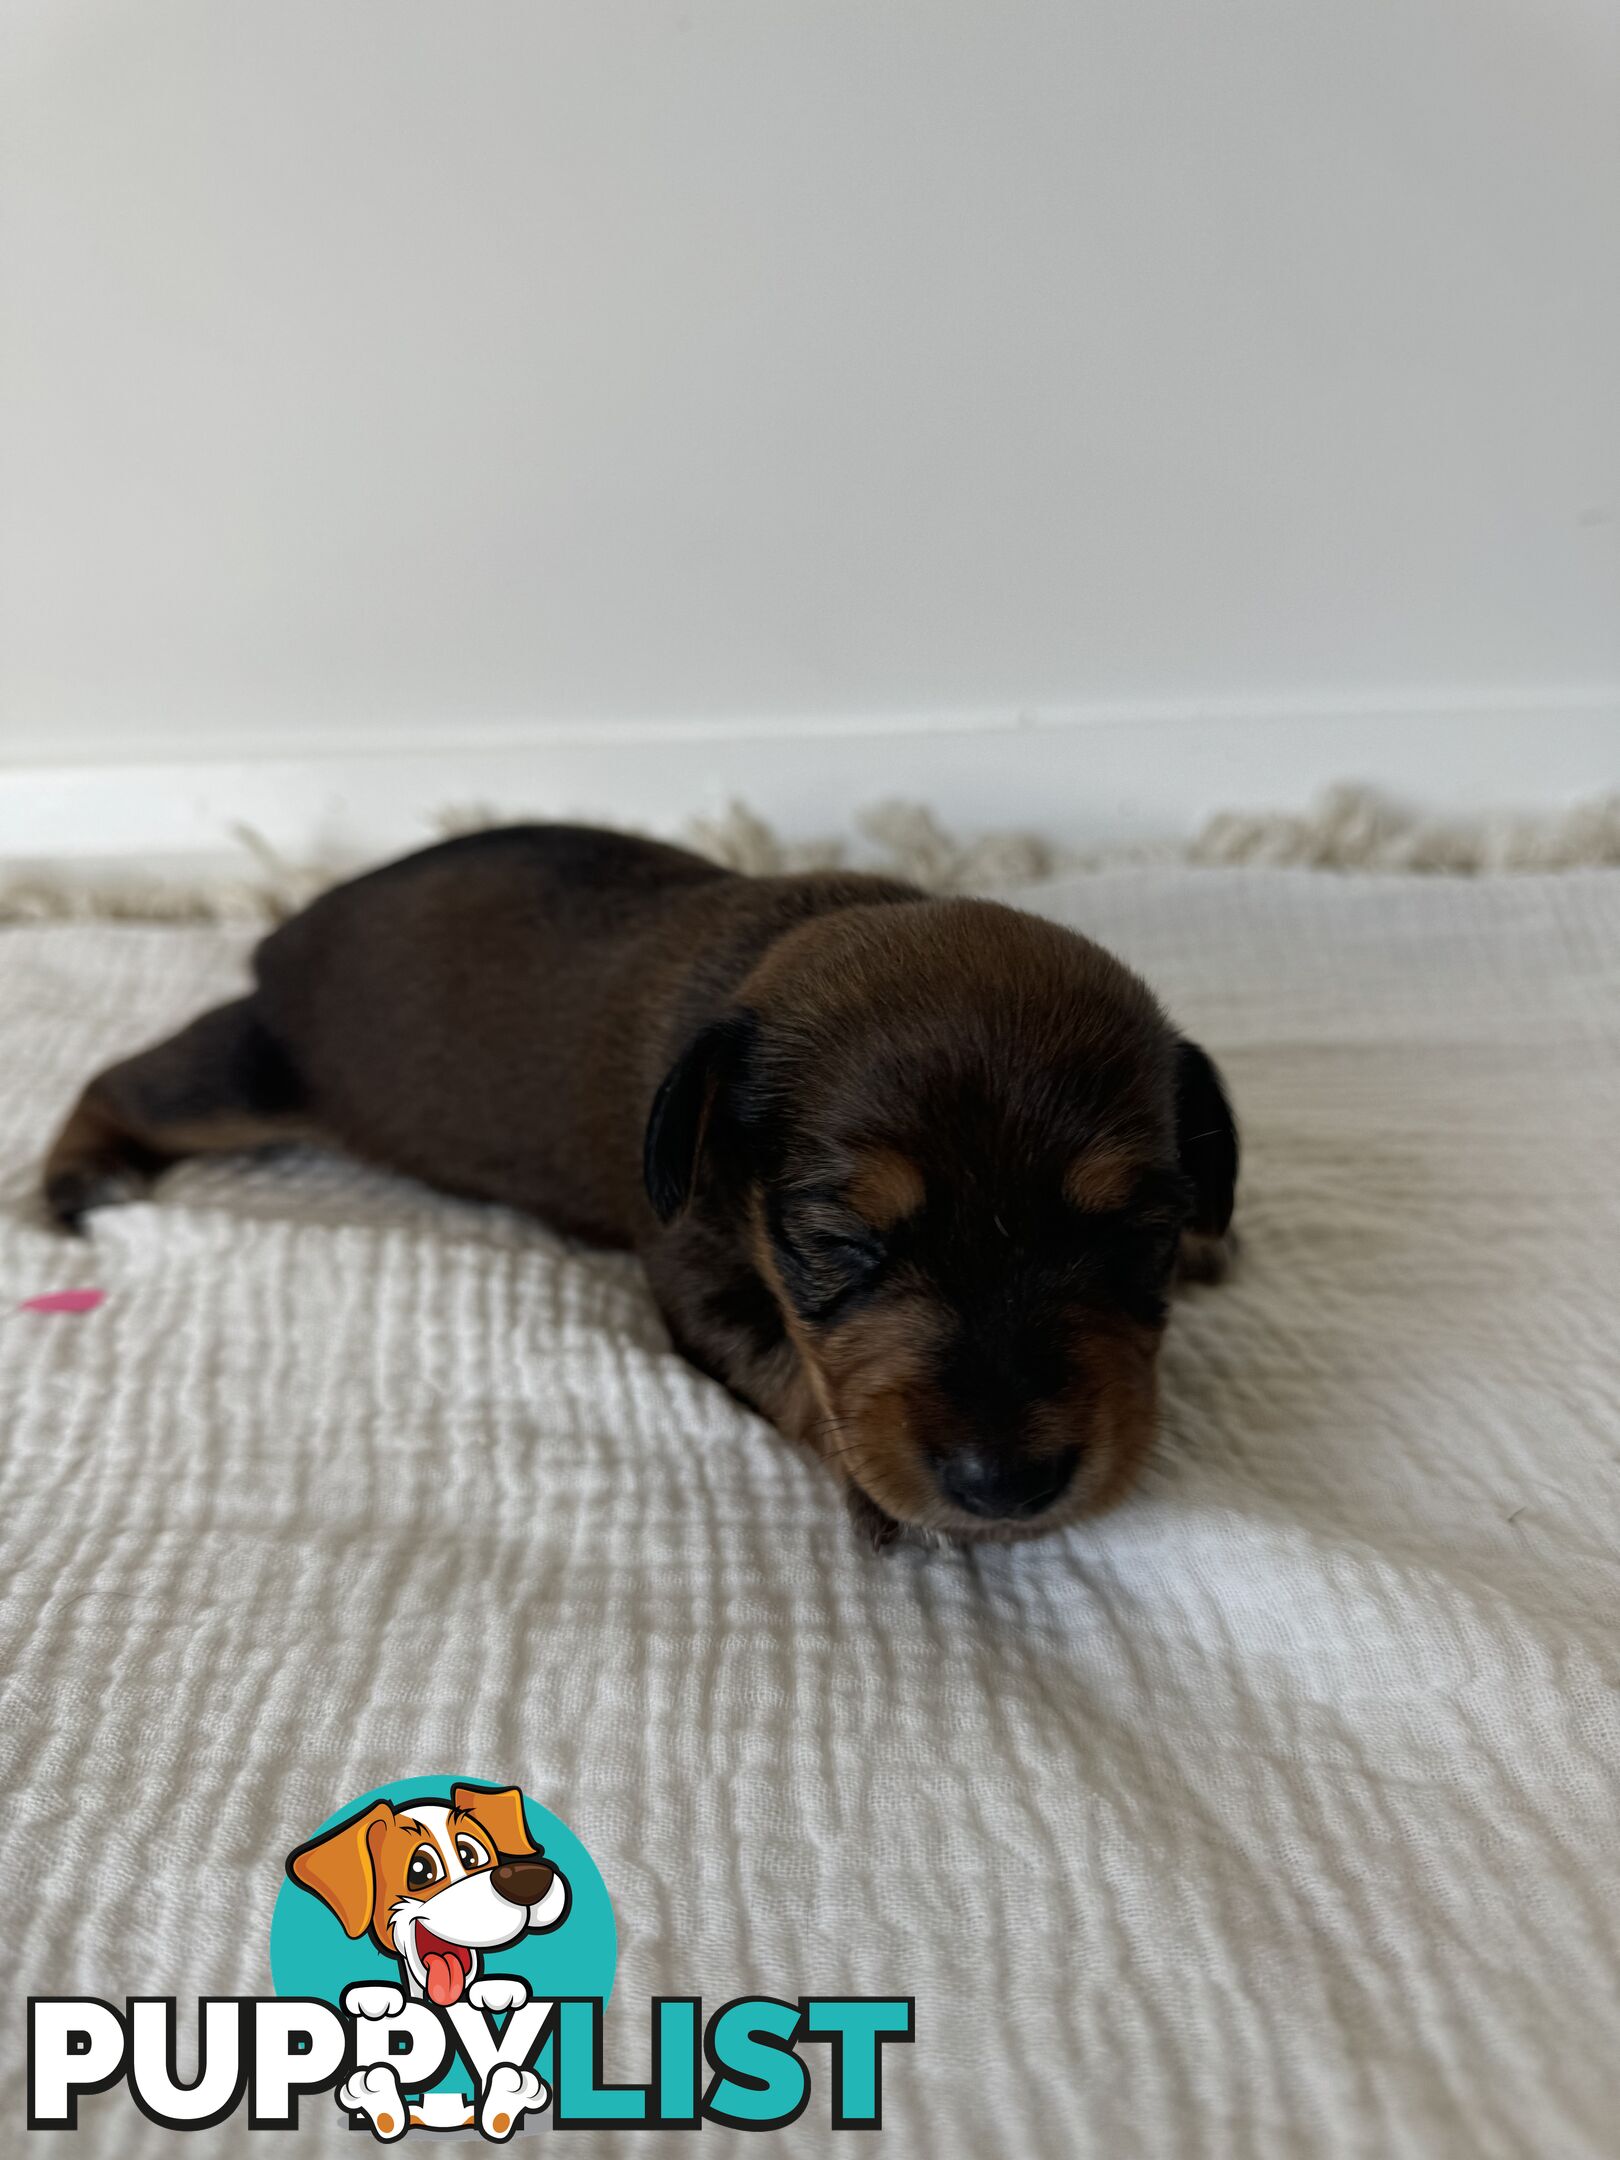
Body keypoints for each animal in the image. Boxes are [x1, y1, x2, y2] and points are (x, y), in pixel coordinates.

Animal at [44, 816, 1235, 1546]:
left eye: (1137, 1236)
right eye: (838, 1241)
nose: (1008, 1489)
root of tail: (289, 930)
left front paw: (1217, 1239)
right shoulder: (700, 1281)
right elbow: (791, 1370)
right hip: (258, 1069)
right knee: (124, 1082)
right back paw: (76, 1175)